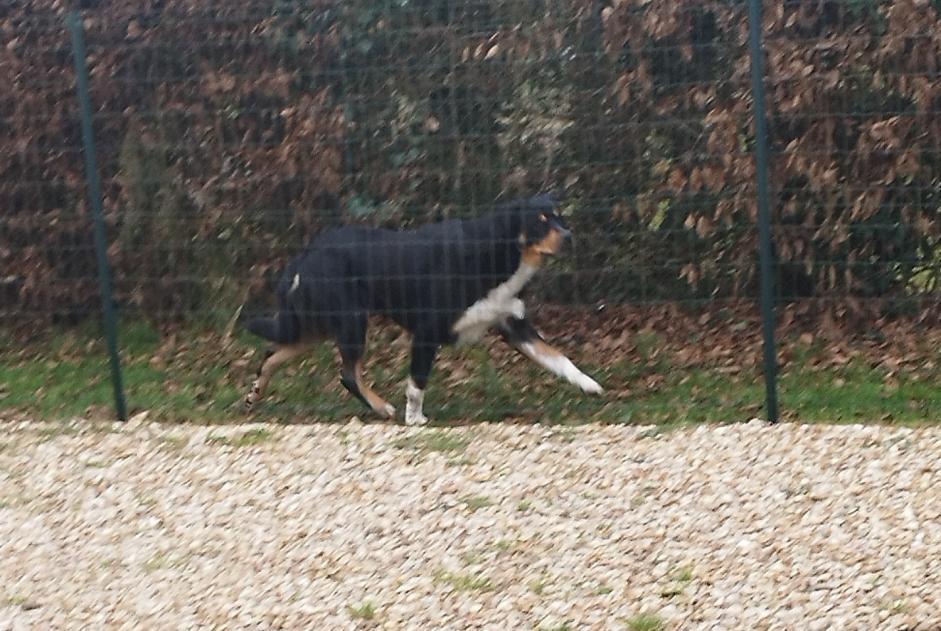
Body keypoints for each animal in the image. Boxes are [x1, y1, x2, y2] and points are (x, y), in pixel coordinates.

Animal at [242, 195, 604, 428]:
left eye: (558, 216)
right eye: (540, 220)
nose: (569, 236)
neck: (496, 255)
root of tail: (307, 252)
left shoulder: (514, 325)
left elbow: (559, 359)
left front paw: (588, 384)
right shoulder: (427, 332)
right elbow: (417, 382)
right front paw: (414, 418)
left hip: (316, 326)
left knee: (271, 354)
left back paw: (254, 395)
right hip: (351, 322)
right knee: (347, 374)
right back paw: (382, 408)